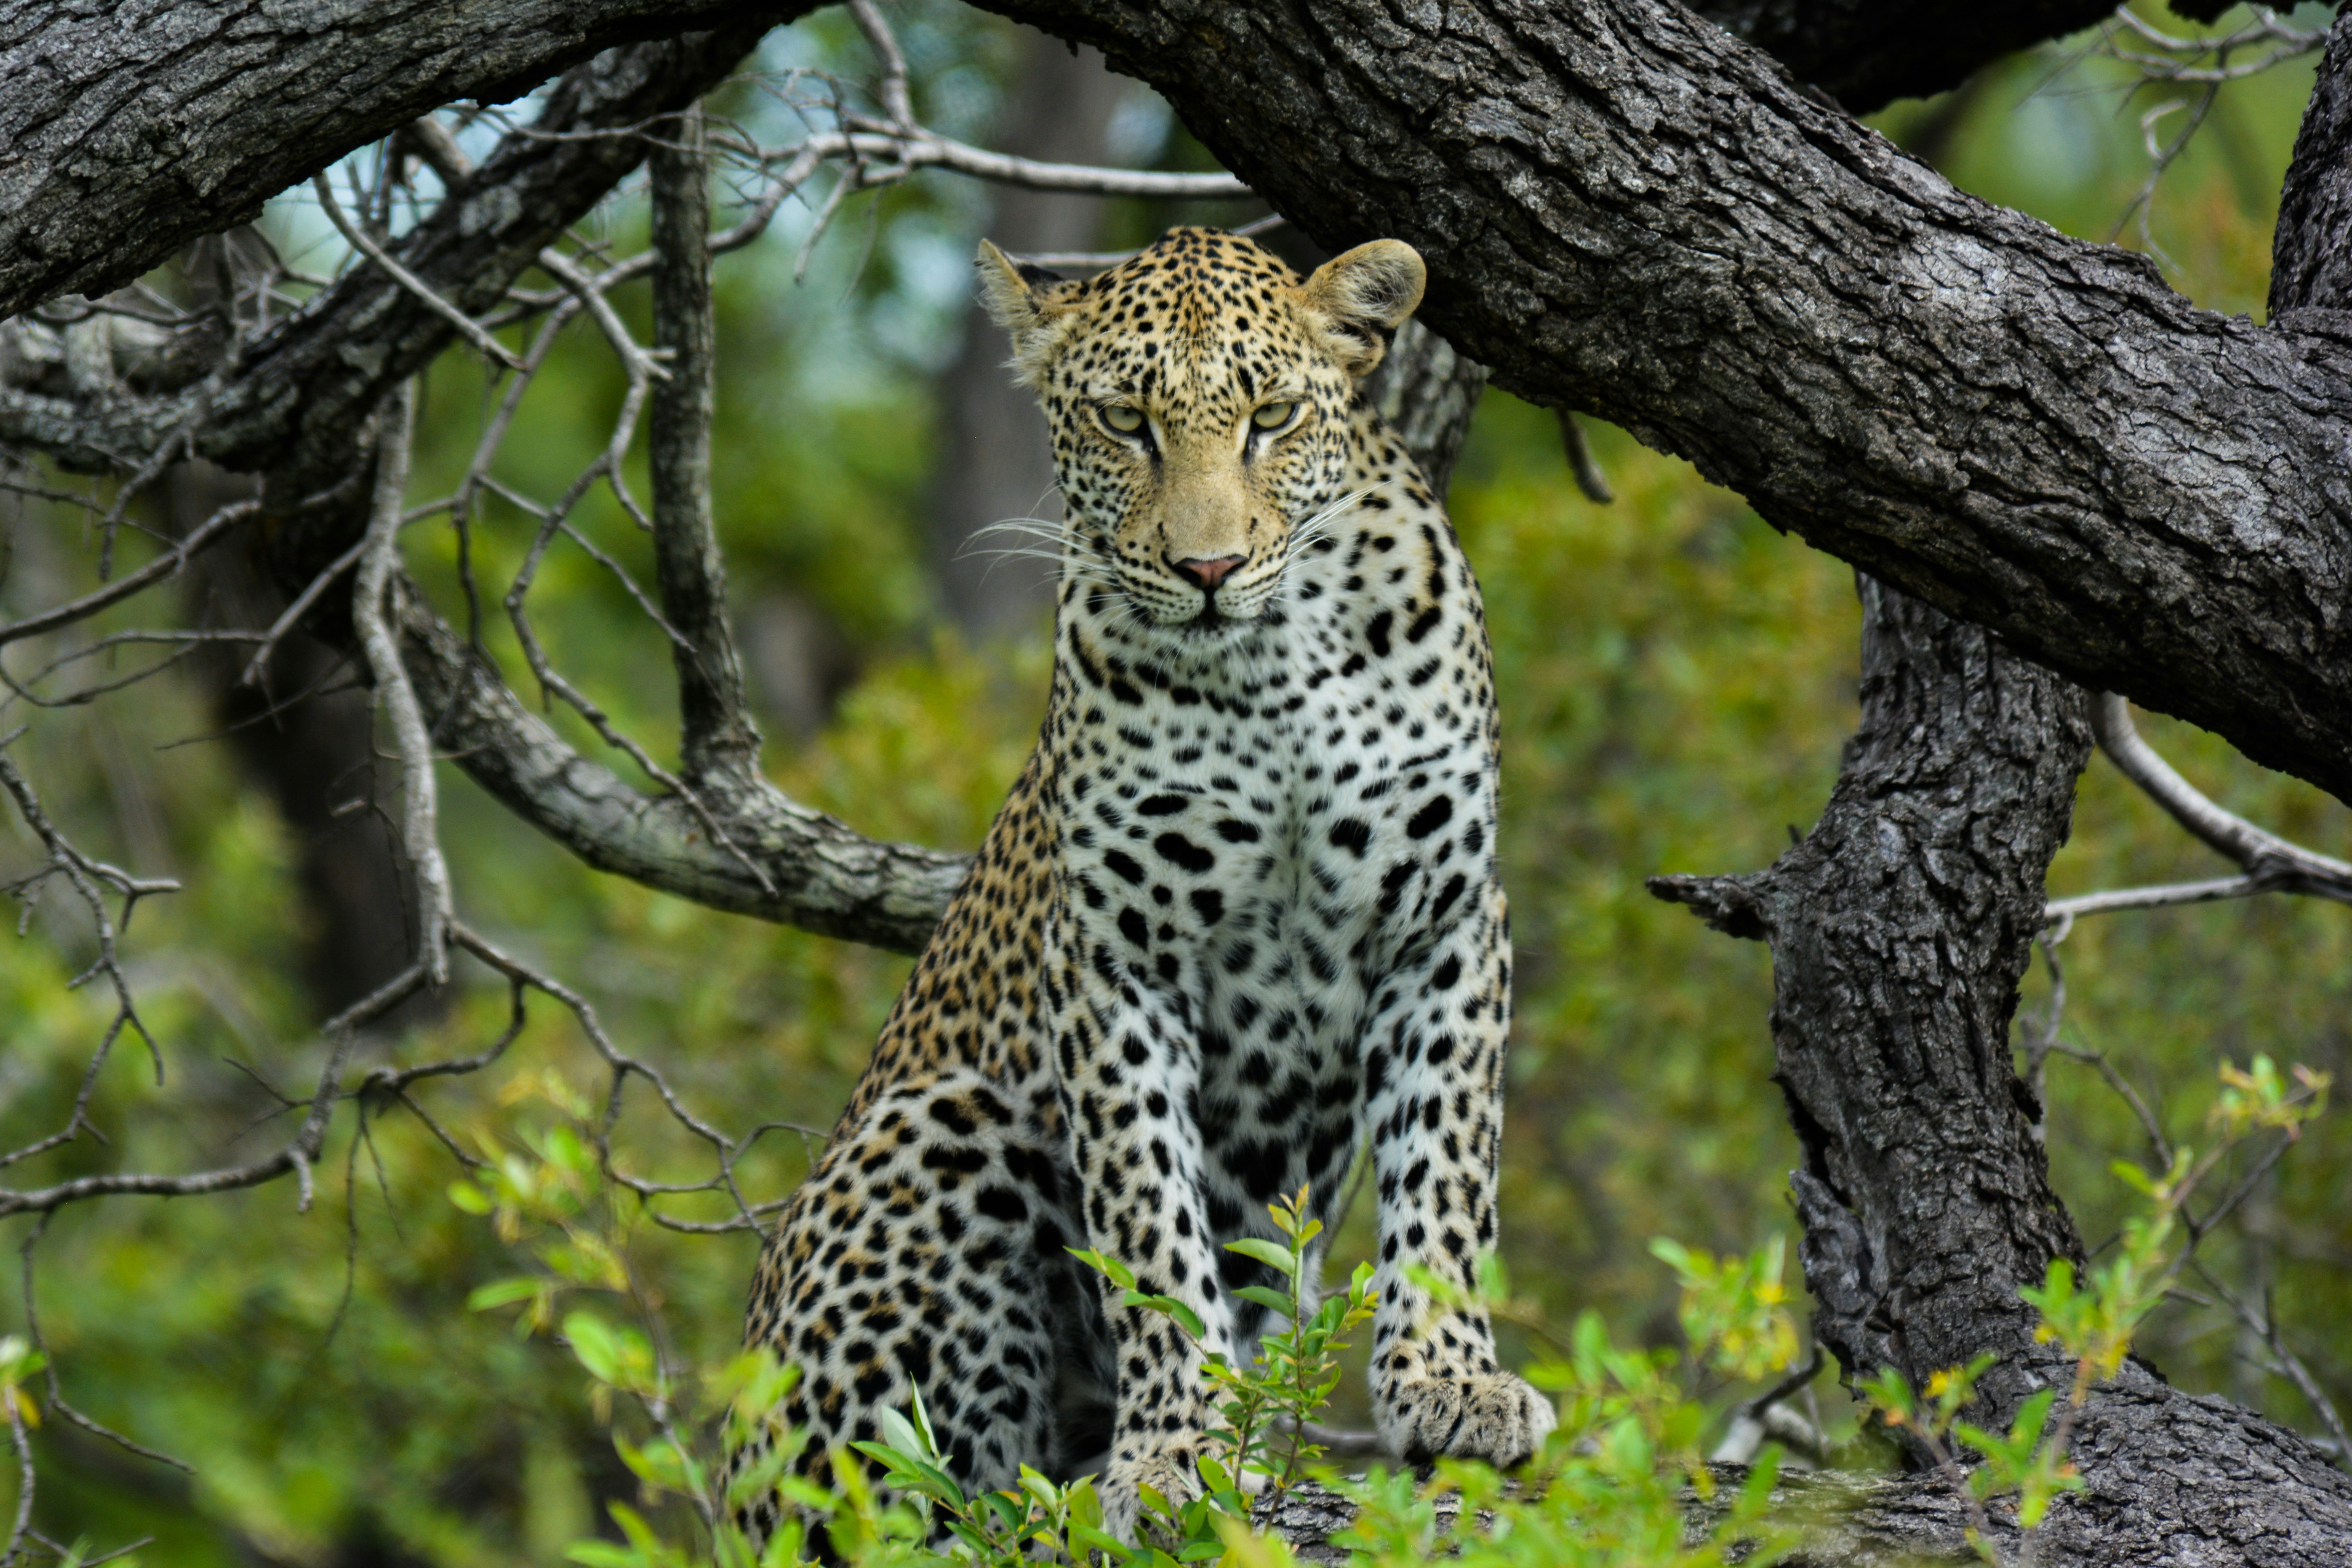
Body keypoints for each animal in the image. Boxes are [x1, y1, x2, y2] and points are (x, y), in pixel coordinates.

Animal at [731, 226, 1553, 1548]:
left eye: (1271, 416)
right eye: (1126, 422)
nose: (1207, 566)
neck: (1275, 673)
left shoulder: (1444, 925)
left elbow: (1445, 1166)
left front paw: (1448, 1381)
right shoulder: (1117, 965)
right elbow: (1150, 1224)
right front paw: (1176, 1449)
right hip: (940, 1130)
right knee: (878, 1502)